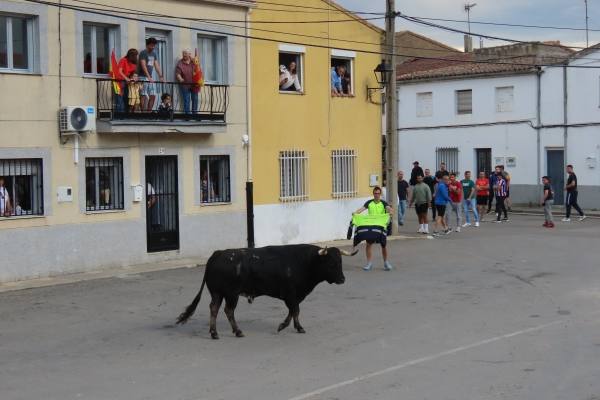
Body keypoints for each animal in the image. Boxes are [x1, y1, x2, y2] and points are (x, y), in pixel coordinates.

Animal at [177, 244, 356, 338]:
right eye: (331, 262)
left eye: (340, 261)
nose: (342, 279)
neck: (306, 262)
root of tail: (217, 254)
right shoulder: (291, 294)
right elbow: (295, 311)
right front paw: (293, 327)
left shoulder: (294, 296)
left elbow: (293, 311)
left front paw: (288, 326)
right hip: (231, 294)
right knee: (228, 310)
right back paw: (236, 331)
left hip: (218, 293)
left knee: (214, 308)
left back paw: (215, 333)